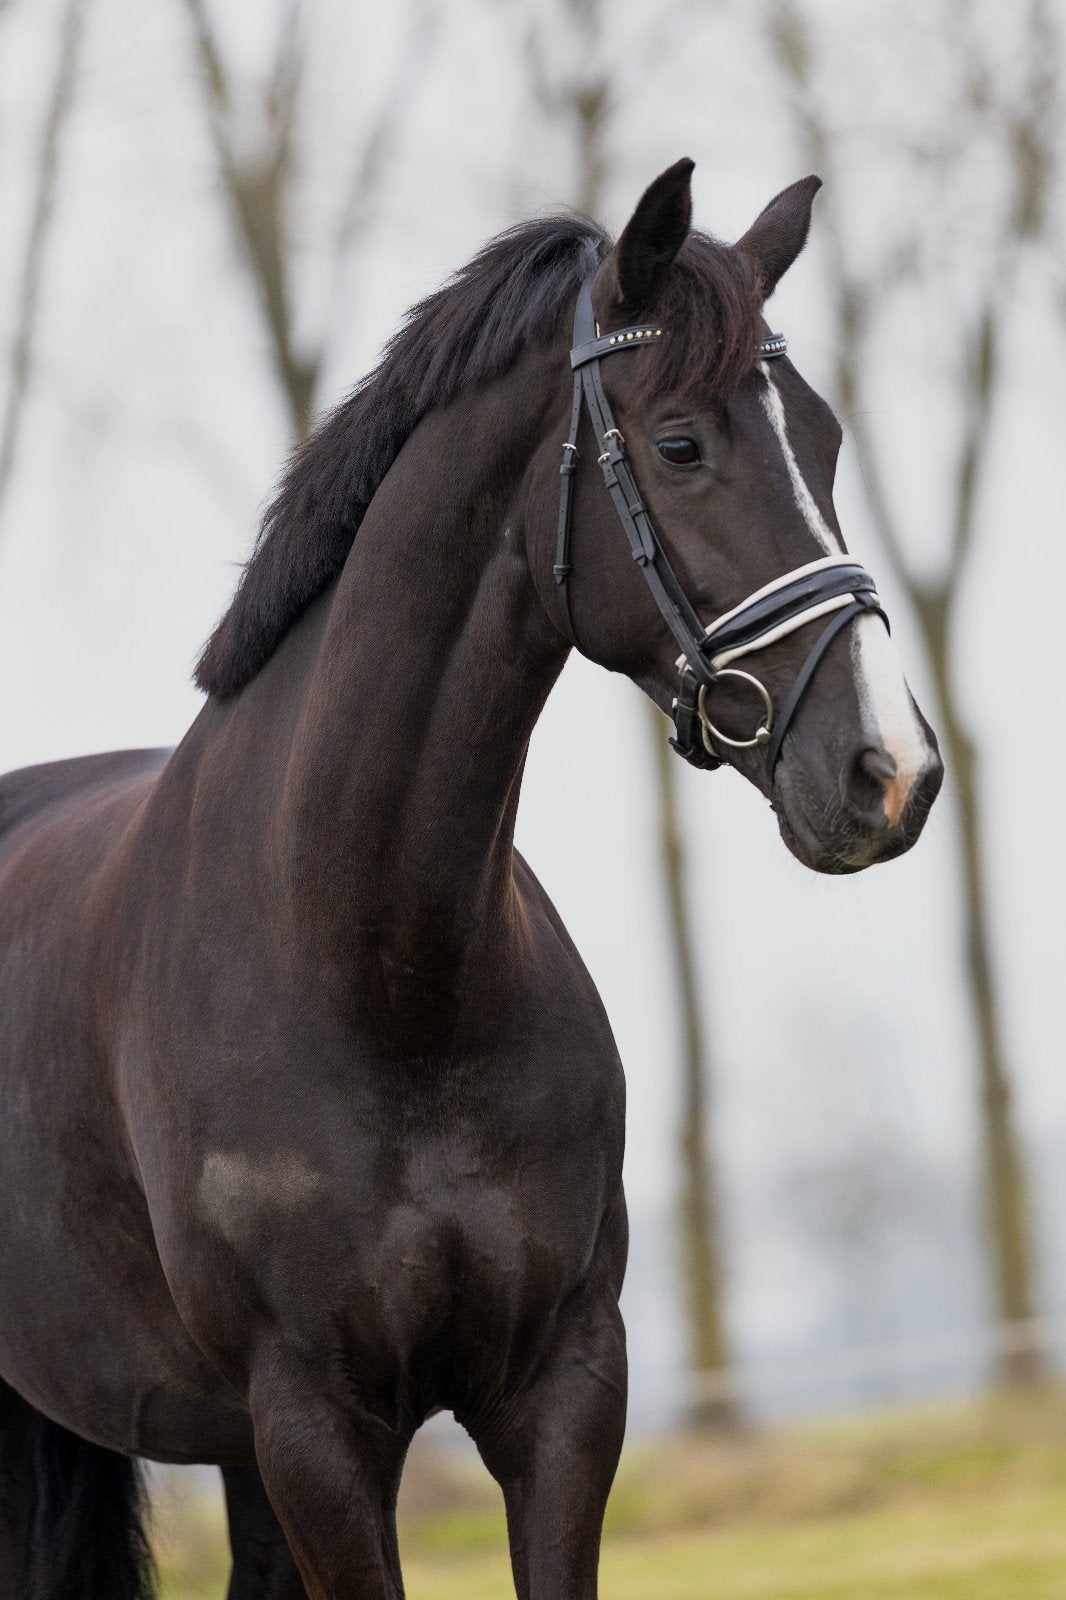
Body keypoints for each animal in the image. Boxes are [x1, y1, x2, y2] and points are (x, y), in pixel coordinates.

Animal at [0, 158, 942, 1598]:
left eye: (827, 442)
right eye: (681, 444)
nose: (888, 770)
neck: (379, 970)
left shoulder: (560, 1392)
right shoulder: (316, 1428)